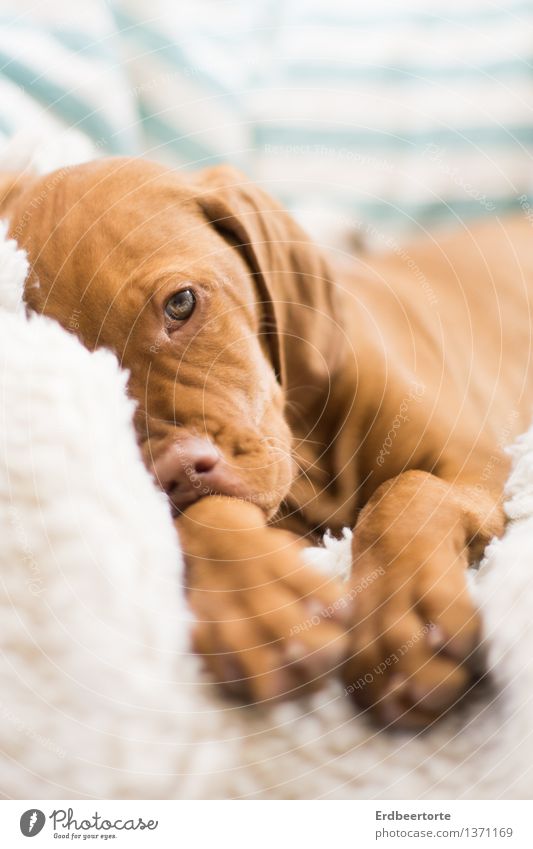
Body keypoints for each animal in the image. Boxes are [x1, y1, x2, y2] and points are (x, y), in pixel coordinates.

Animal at [2, 161, 528, 728]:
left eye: (181, 303)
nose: (176, 472)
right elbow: (205, 517)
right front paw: (257, 600)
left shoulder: (483, 464)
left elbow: (407, 493)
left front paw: (405, 614)